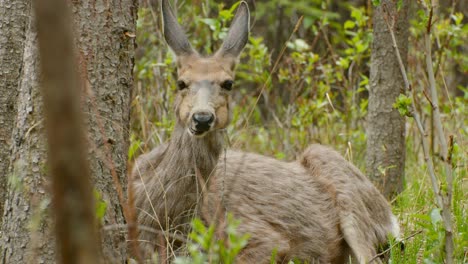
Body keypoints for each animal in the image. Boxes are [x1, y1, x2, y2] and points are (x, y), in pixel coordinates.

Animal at [133, 1, 402, 262]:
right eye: (181, 82)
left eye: (228, 83)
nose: (202, 118)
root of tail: (391, 218)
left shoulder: (262, 238)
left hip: (339, 180)